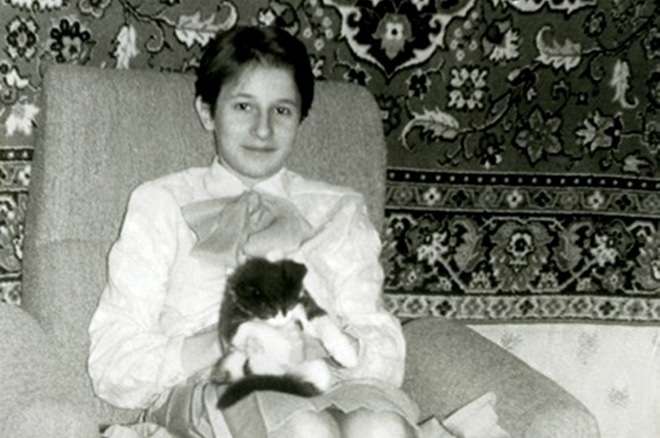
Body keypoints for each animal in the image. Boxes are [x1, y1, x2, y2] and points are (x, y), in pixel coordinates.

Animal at [211, 257, 359, 409]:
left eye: (290, 305)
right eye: (270, 311)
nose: (286, 318)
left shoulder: (305, 302)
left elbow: (323, 322)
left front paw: (345, 353)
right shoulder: (228, 322)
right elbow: (252, 326)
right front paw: (282, 345)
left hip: (318, 370)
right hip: (232, 361)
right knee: (249, 369)